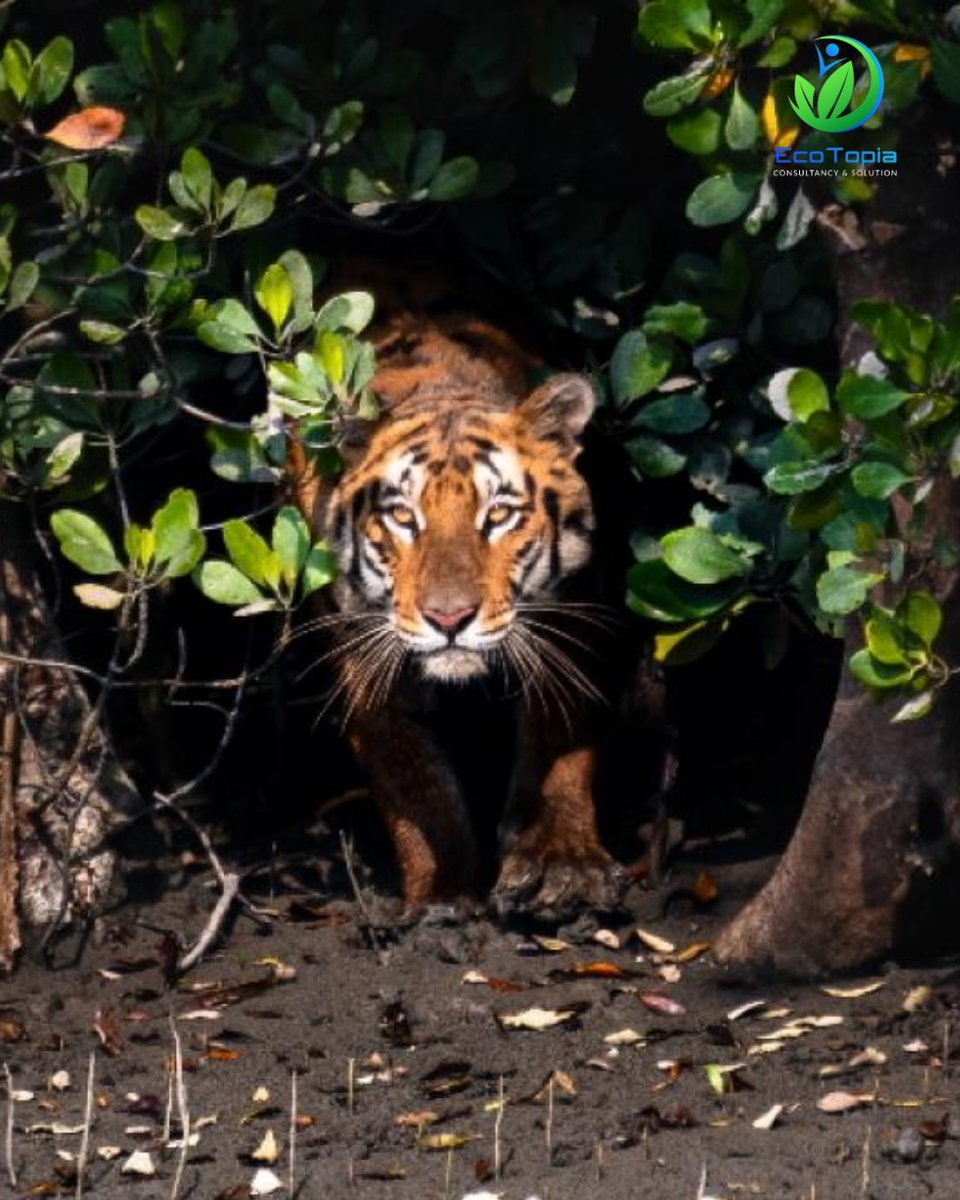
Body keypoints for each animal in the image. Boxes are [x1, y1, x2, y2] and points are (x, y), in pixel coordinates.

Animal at [289, 271, 624, 917]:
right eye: (401, 516)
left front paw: (560, 863)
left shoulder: (568, 616)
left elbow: (560, 733)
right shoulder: (364, 651)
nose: (449, 618)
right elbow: (414, 774)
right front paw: (443, 896)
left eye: (498, 514)